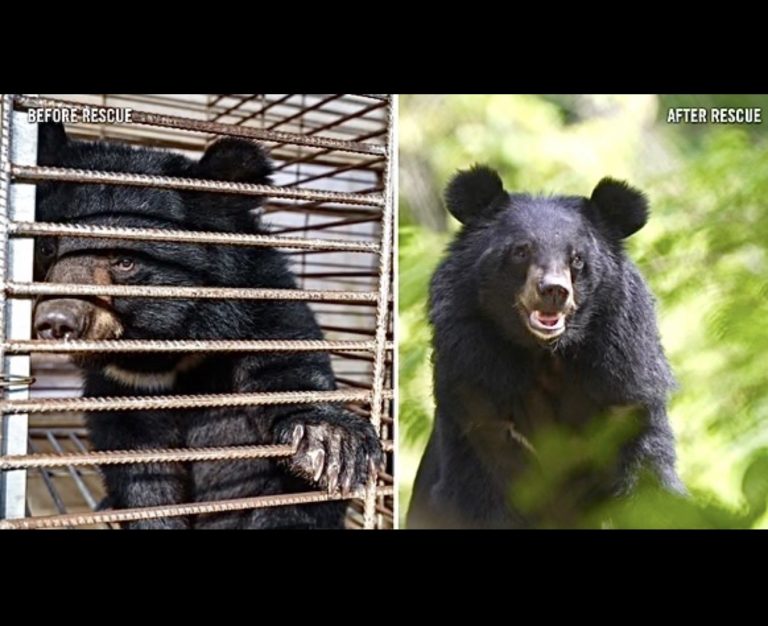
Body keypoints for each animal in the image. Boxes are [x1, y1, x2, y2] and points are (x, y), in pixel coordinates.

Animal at [32, 122, 382, 529]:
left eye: (125, 260)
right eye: (46, 249)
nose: (57, 321)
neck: (167, 346)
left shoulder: (257, 302)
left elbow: (285, 362)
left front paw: (332, 445)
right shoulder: (123, 384)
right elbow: (137, 459)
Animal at [407, 165, 684, 529]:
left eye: (577, 259)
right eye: (520, 251)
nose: (554, 291)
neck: (545, 356)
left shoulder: (624, 389)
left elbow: (648, 485)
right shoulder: (478, 396)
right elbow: (477, 500)